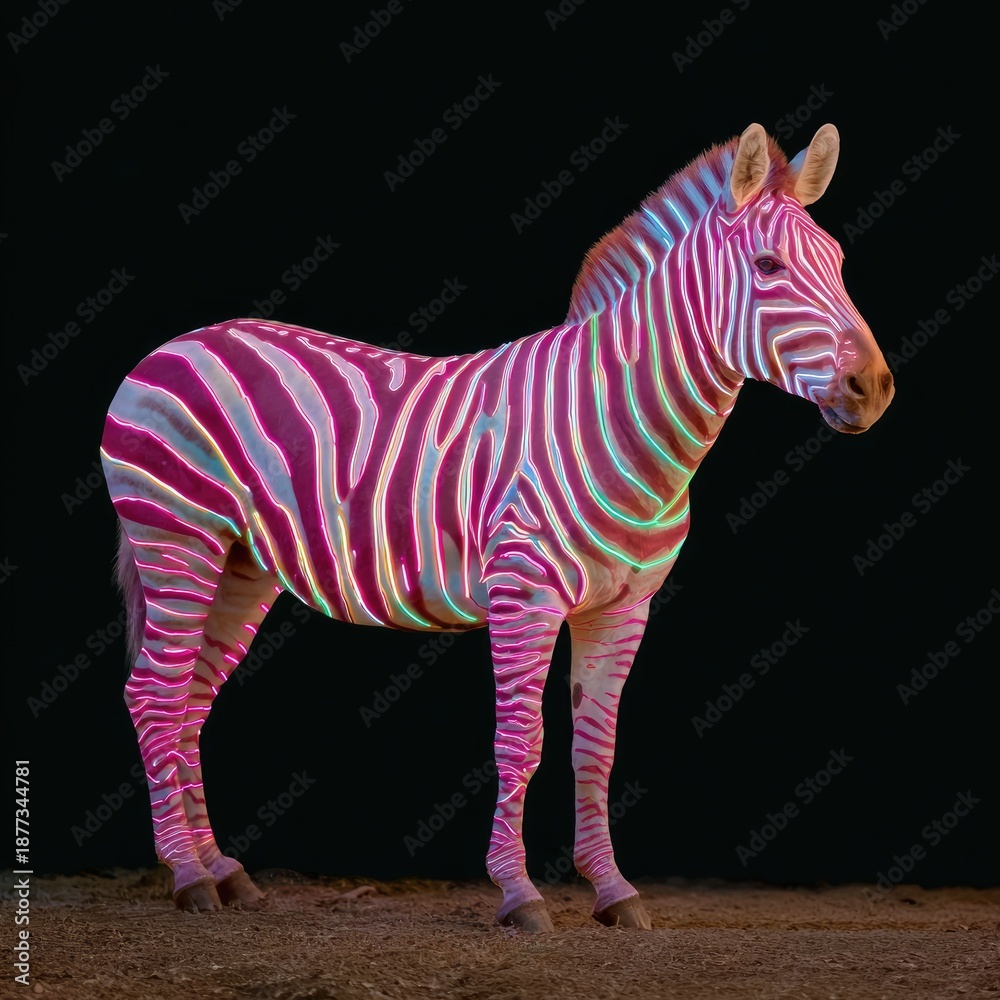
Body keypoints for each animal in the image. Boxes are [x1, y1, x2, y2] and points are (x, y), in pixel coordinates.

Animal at [102, 123, 894, 932]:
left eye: (838, 264)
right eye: (768, 267)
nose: (876, 388)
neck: (614, 421)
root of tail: (179, 342)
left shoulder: (624, 608)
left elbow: (596, 749)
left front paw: (614, 891)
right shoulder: (525, 594)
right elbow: (521, 742)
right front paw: (519, 892)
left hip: (241, 563)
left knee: (191, 701)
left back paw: (221, 871)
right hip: (178, 540)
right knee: (153, 696)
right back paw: (186, 876)